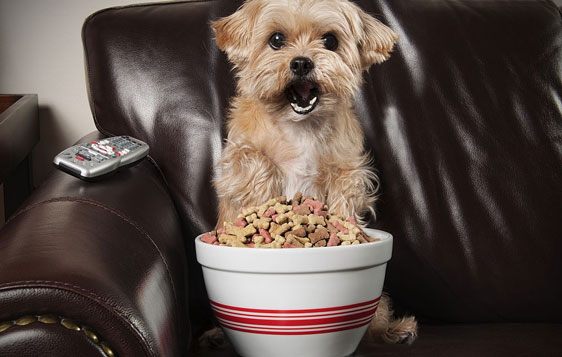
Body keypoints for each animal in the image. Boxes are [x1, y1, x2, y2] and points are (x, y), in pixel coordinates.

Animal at [208, 0, 414, 346]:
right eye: (276, 40)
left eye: (330, 41)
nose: (302, 62)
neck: (299, 126)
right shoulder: (236, 159)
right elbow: (255, 161)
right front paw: (267, 196)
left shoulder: (350, 167)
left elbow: (345, 192)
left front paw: (344, 227)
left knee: (376, 319)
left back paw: (394, 330)